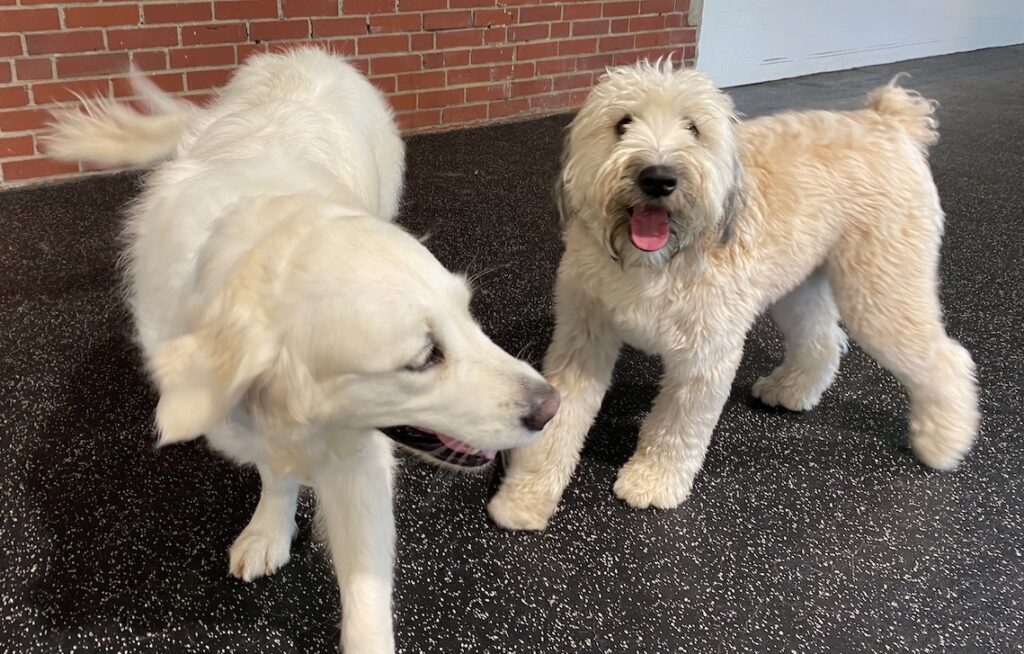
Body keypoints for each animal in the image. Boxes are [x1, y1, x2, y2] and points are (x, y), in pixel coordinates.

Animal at [491, 58, 978, 532]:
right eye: (623, 123)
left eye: (693, 127)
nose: (658, 178)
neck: (657, 261)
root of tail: (889, 120)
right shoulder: (582, 339)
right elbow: (557, 422)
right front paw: (524, 496)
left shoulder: (705, 355)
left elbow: (677, 427)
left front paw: (653, 480)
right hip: (799, 287)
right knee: (822, 340)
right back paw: (792, 389)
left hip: (881, 289)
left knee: (947, 359)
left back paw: (944, 441)